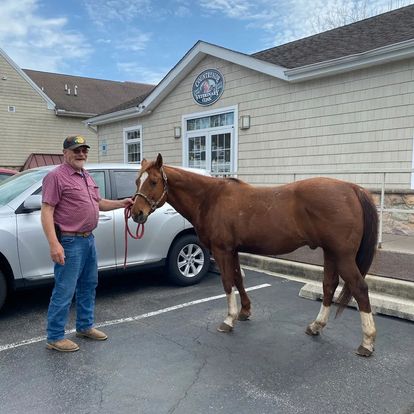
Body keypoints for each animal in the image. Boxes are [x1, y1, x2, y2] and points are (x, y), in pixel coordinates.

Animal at [130, 154, 378, 356]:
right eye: (137, 181)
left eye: (153, 182)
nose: (136, 213)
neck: (210, 198)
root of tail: (352, 188)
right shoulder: (233, 250)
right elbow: (238, 279)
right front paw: (244, 311)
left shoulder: (222, 250)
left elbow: (227, 282)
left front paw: (229, 319)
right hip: (331, 253)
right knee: (329, 285)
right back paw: (316, 326)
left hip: (343, 256)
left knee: (359, 288)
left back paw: (367, 342)